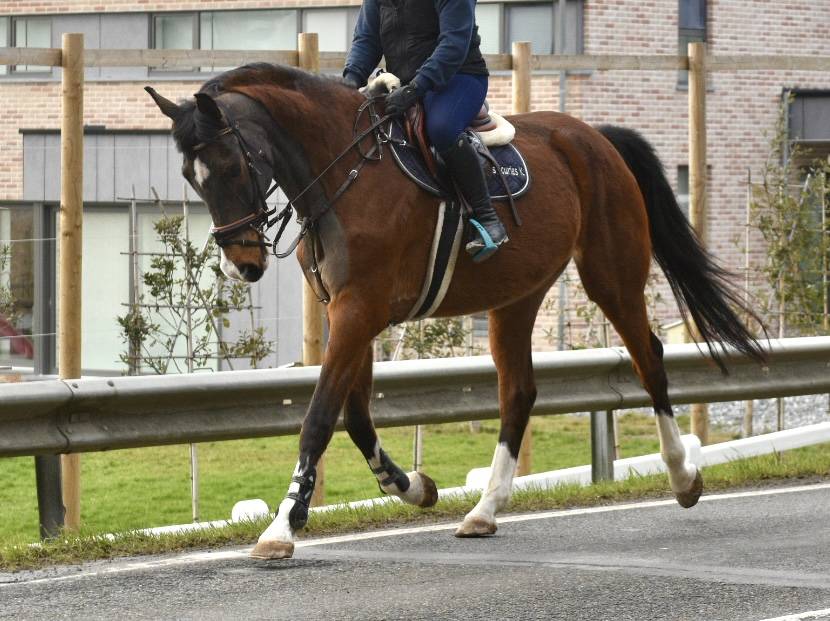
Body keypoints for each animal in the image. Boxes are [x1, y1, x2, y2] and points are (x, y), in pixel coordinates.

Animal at [145, 63, 765, 560]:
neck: (341, 175)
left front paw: (282, 526)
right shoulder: (347, 313)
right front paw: (414, 487)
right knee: (519, 391)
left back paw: (683, 476)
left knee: (649, 358)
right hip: (516, 299)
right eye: (190, 178)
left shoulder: (359, 311)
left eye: (231, 166)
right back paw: (484, 511)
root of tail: (594, 136)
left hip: (610, 277)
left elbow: (321, 415)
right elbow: (356, 416)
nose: (243, 265)